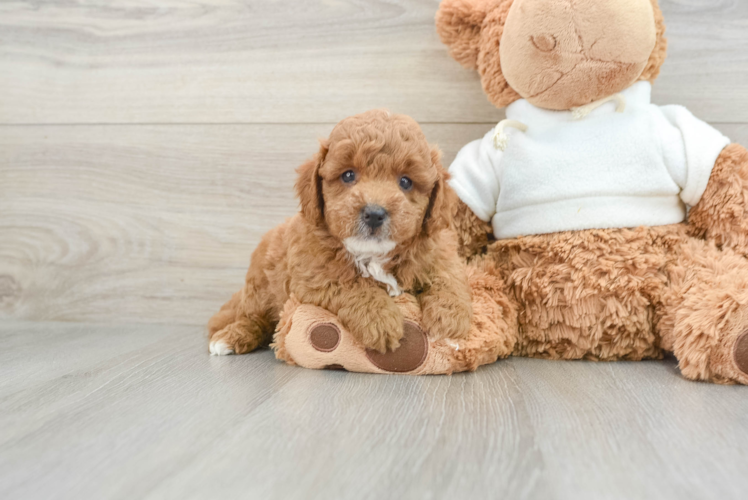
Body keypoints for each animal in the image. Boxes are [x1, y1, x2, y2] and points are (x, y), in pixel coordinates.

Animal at [207, 111, 470, 358]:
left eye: (405, 181)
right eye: (348, 175)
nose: (374, 213)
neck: (373, 255)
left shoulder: (438, 251)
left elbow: (448, 276)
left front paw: (451, 320)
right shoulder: (314, 275)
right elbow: (353, 286)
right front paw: (380, 321)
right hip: (261, 288)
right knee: (254, 317)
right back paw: (229, 337)